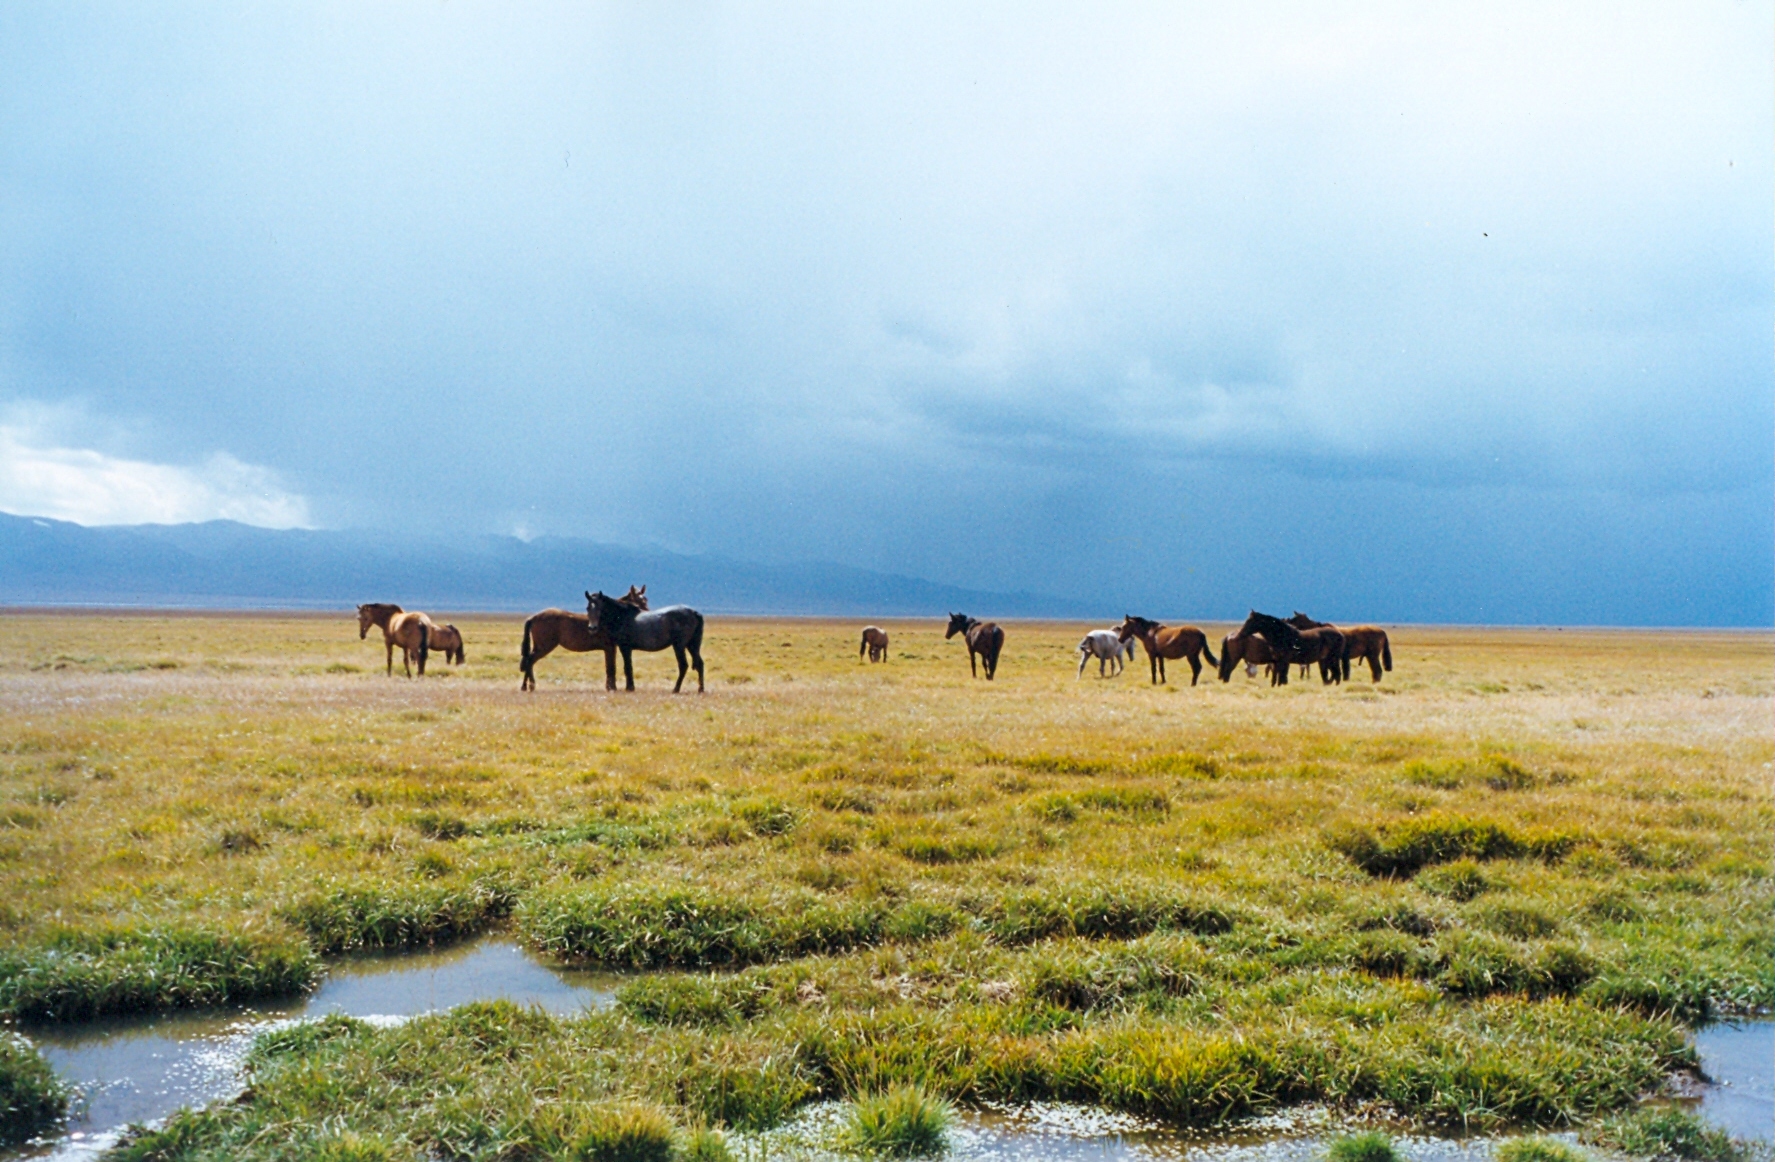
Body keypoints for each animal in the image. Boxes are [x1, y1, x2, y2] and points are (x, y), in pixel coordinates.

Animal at [518, 581, 649, 691]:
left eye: (645, 600)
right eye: (638, 601)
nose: (647, 613)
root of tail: (534, 617)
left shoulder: (610, 648)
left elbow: (610, 667)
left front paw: (610, 687)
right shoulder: (610, 647)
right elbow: (611, 667)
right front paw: (612, 688)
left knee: (529, 661)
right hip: (544, 647)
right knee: (530, 661)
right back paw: (528, 686)